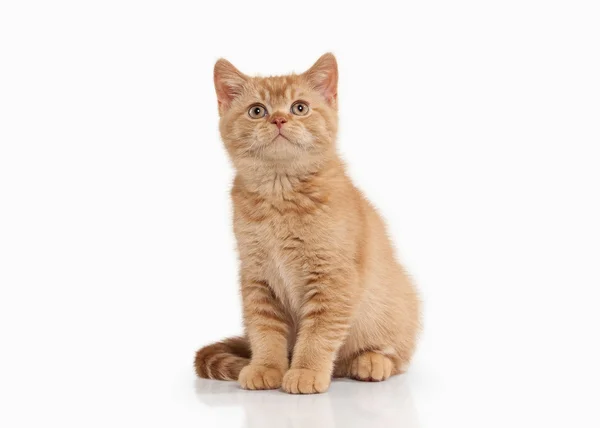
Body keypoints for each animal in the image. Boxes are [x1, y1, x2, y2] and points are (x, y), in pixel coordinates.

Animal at [195, 53, 420, 394]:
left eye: (299, 107)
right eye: (257, 111)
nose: (278, 120)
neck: (280, 195)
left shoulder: (333, 278)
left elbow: (318, 332)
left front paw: (306, 371)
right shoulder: (257, 276)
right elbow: (265, 330)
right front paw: (266, 367)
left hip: (396, 303)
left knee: (395, 354)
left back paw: (370, 361)